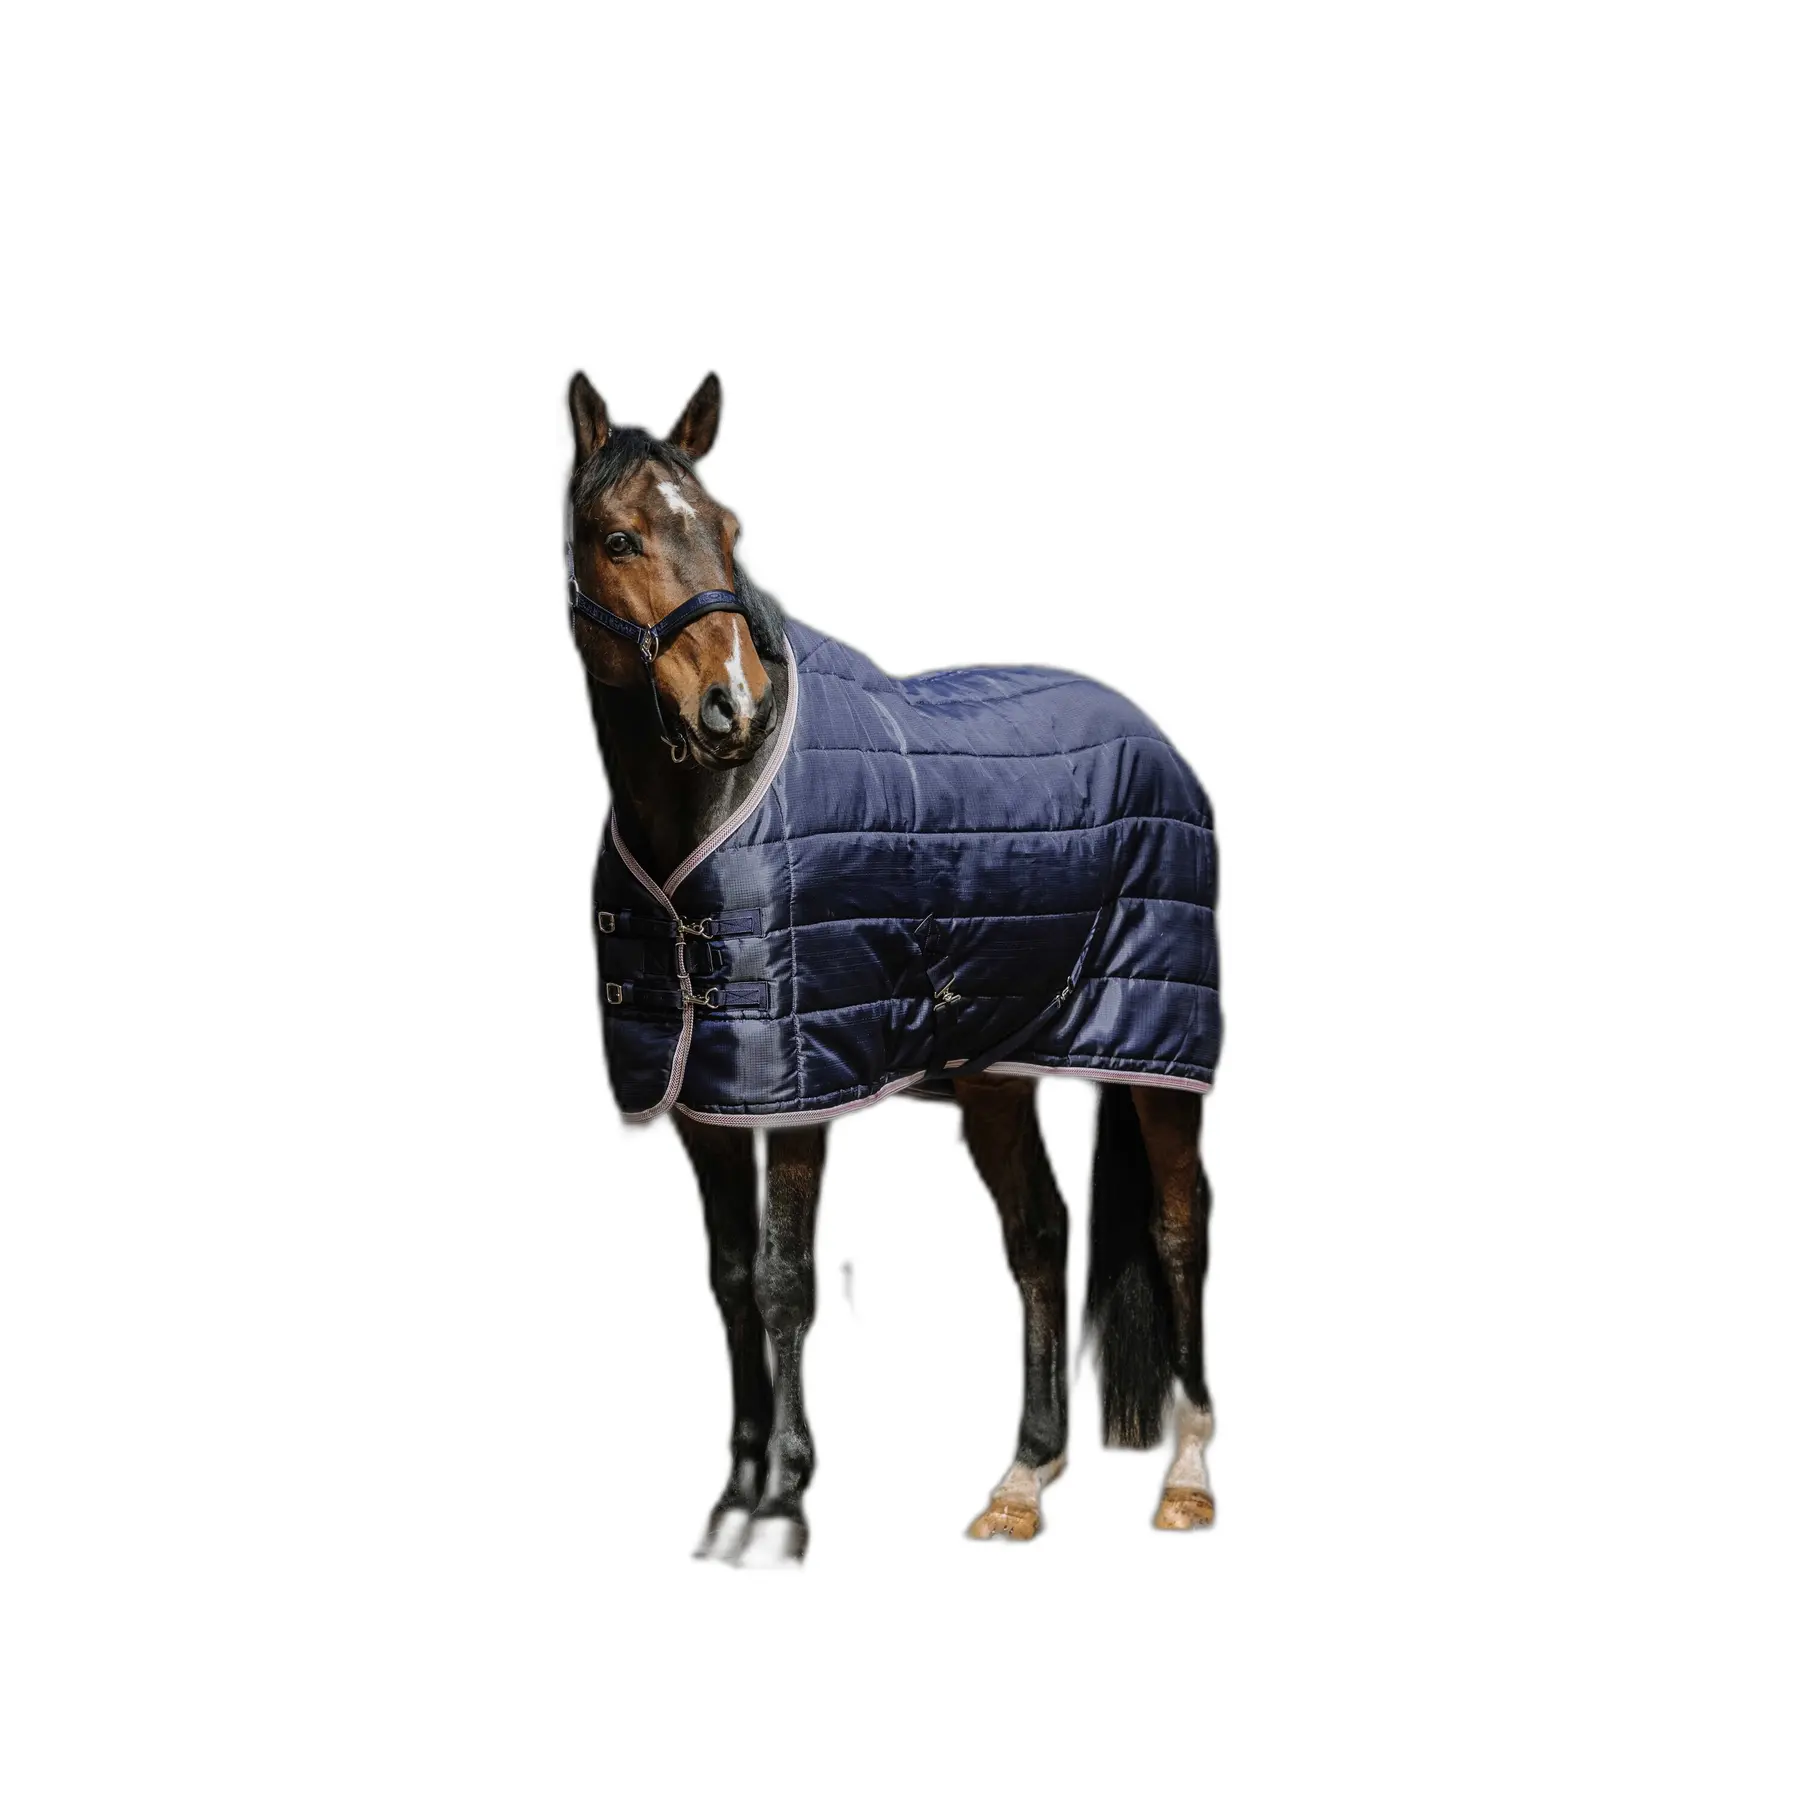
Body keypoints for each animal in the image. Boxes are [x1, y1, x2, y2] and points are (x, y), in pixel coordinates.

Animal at [563, 371, 1219, 1565]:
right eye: (619, 536)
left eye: (728, 530)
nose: (733, 707)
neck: (712, 810)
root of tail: (1157, 741)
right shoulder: (702, 1101)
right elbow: (731, 1281)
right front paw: (732, 1497)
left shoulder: (802, 1087)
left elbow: (785, 1285)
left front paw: (782, 1507)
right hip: (999, 1071)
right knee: (1041, 1236)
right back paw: (1022, 1480)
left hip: (1158, 1057)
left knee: (1178, 1225)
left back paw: (1188, 1478)